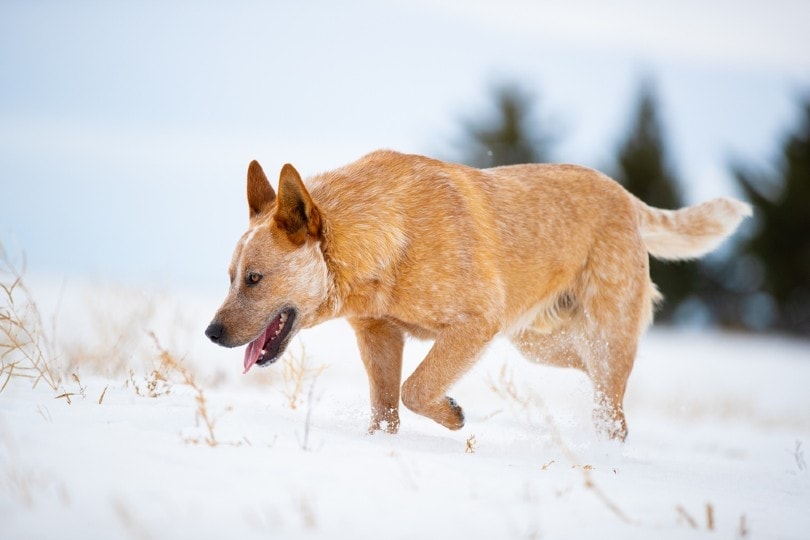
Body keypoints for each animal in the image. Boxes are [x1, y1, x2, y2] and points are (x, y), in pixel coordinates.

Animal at [205, 150, 748, 440]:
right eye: (230, 276)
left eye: (254, 278)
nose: (211, 333)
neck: (385, 241)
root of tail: (626, 197)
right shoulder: (379, 335)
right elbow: (385, 405)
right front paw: (380, 447)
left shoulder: (476, 325)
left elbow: (415, 388)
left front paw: (451, 415)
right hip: (537, 340)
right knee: (595, 378)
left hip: (596, 334)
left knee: (612, 407)